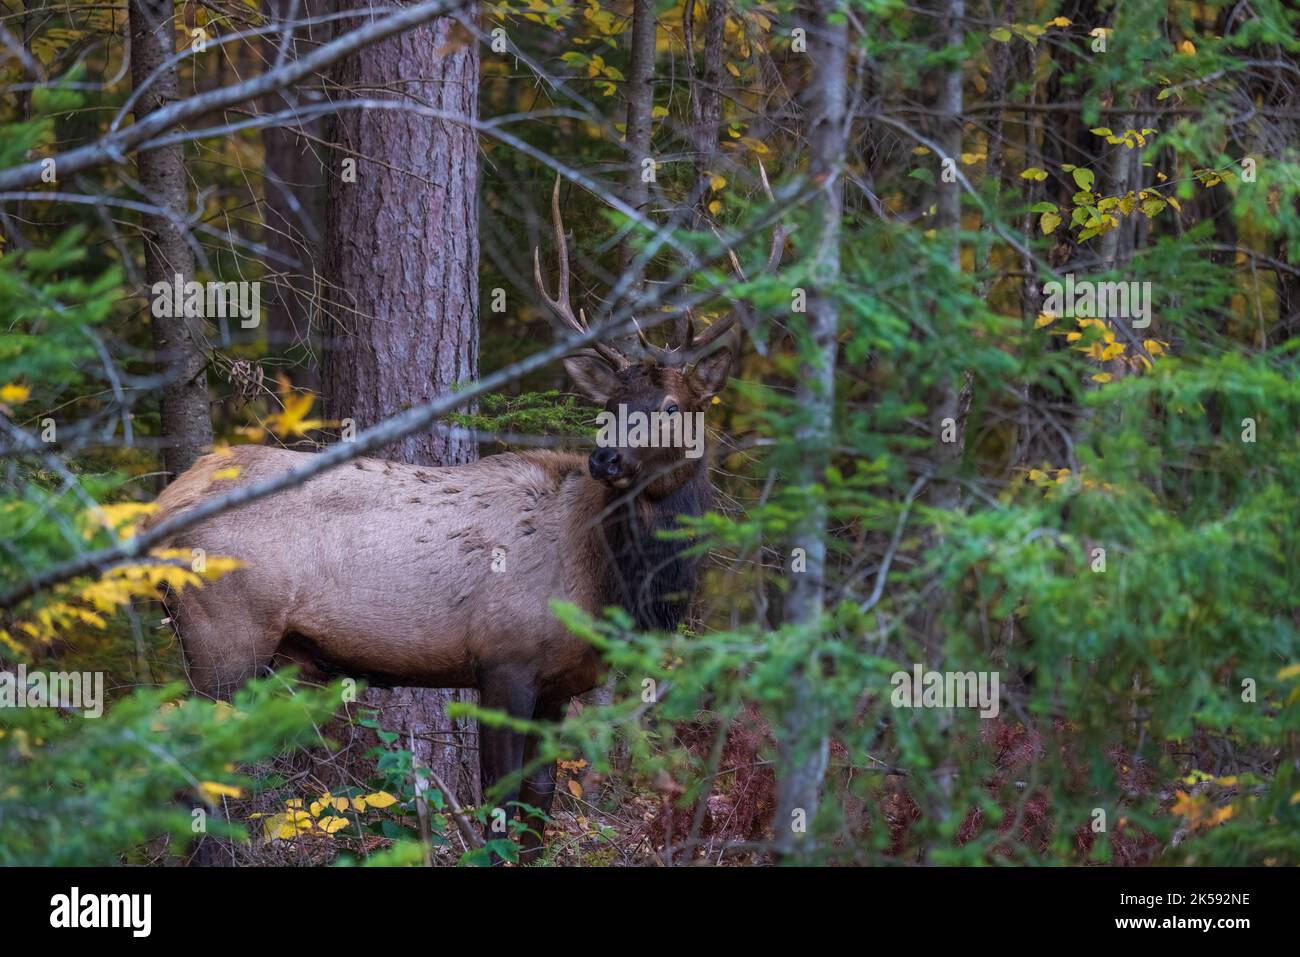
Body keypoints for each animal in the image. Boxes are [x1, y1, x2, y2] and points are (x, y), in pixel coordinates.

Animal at [152, 180, 780, 858]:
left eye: (671, 406)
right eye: (611, 403)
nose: (605, 457)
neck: (607, 582)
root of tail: (163, 505)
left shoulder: (559, 685)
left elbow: (538, 806)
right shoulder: (504, 661)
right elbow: (499, 805)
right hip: (226, 636)